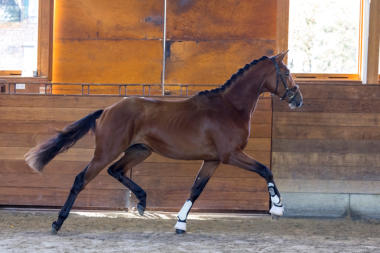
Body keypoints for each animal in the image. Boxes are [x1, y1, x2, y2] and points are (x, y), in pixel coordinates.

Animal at [24, 52, 302, 235]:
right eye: (287, 73)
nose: (298, 99)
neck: (229, 107)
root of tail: (107, 110)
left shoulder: (212, 160)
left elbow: (196, 189)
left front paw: (180, 223)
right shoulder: (230, 155)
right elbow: (265, 170)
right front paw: (277, 208)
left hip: (139, 151)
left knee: (117, 170)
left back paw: (142, 202)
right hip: (106, 152)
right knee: (81, 179)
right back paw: (57, 223)